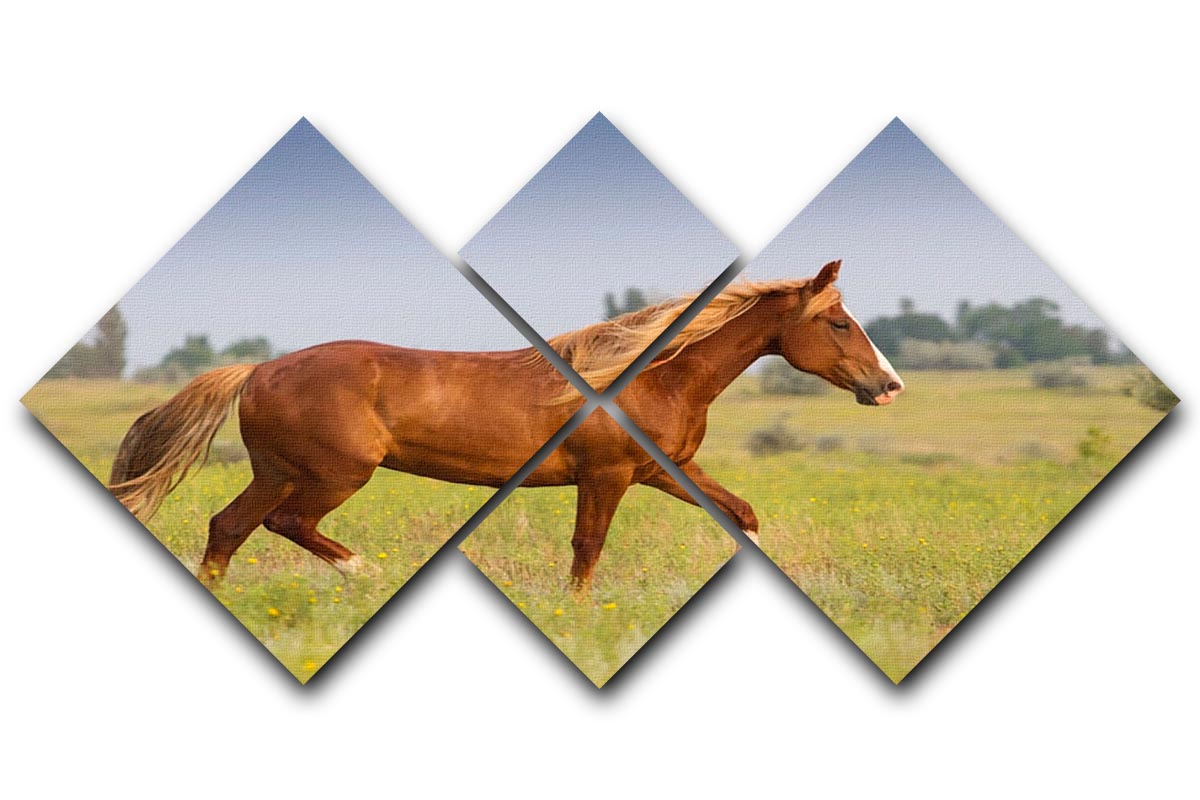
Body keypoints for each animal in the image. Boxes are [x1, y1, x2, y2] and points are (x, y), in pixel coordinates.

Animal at [108, 259, 902, 588]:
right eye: (837, 321)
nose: (889, 386)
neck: (654, 377)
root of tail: (259, 369)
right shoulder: (608, 475)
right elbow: (587, 547)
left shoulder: (662, 471)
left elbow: (742, 515)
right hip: (334, 474)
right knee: (283, 525)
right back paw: (369, 574)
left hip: (277, 471)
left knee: (227, 528)